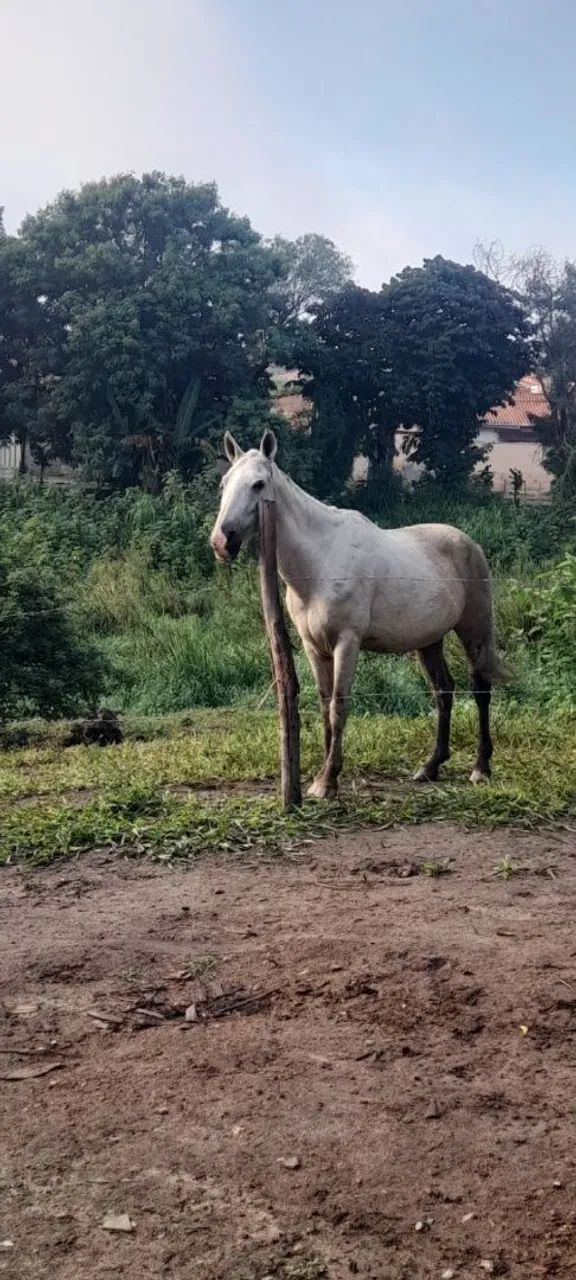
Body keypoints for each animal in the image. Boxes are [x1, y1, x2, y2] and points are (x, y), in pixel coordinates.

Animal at [210, 429, 507, 800]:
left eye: (259, 484)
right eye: (224, 483)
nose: (221, 541)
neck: (320, 561)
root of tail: (471, 545)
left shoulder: (346, 643)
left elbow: (339, 707)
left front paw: (327, 780)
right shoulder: (313, 647)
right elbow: (324, 706)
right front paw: (323, 775)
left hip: (474, 631)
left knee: (480, 689)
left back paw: (481, 767)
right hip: (430, 641)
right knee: (443, 691)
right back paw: (430, 767)